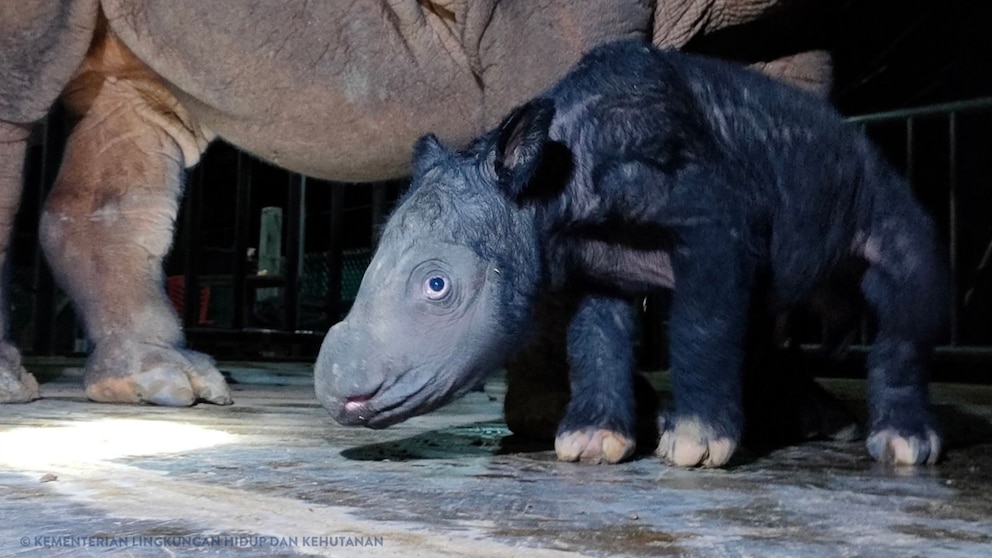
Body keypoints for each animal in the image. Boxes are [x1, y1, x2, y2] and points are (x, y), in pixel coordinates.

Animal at [315, 41, 947, 467]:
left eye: (437, 286)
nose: (334, 388)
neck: (552, 175)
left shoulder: (712, 219)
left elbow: (702, 320)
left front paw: (694, 445)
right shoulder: (591, 259)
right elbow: (595, 335)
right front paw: (592, 443)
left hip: (879, 181)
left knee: (905, 279)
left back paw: (902, 446)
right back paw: (819, 425)